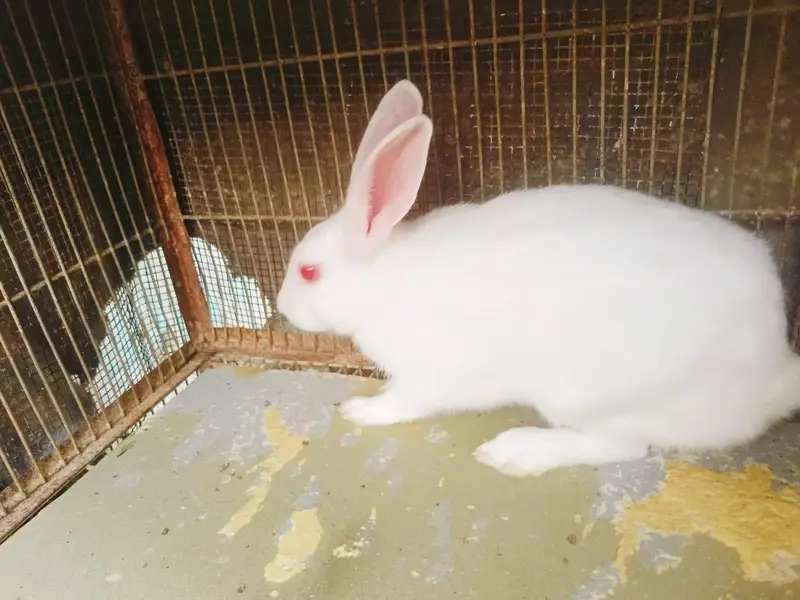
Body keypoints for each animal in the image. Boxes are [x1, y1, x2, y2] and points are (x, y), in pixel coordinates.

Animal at [276, 79, 800, 476]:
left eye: (309, 272)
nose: (281, 306)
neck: (382, 281)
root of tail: (775, 371)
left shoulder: (433, 377)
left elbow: (404, 402)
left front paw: (361, 410)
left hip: (587, 394)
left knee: (623, 446)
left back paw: (516, 451)